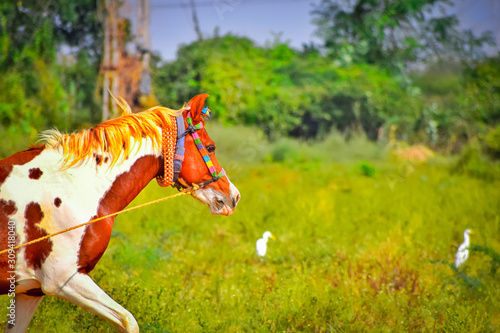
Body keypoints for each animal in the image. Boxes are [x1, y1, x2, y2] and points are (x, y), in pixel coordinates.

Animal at [0, 94, 240, 332]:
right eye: (210, 147)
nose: (234, 196)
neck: (71, 186)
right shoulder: (62, 279)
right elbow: (129, 320)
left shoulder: (31, 291)